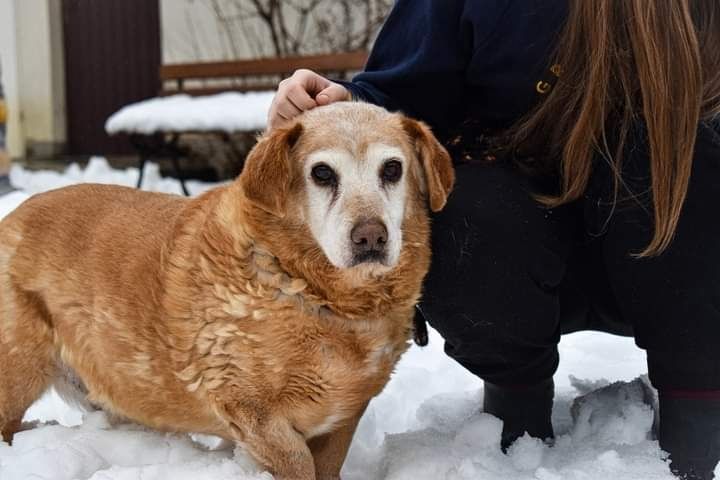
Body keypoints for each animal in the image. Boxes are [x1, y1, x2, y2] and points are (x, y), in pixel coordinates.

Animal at [0, 101, 450, 476]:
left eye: (392, 169)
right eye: (322, 173)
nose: (371, 237)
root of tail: (13, 216)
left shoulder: (343, 416)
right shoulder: (254, 413)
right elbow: (298, 464)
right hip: (16, 372)